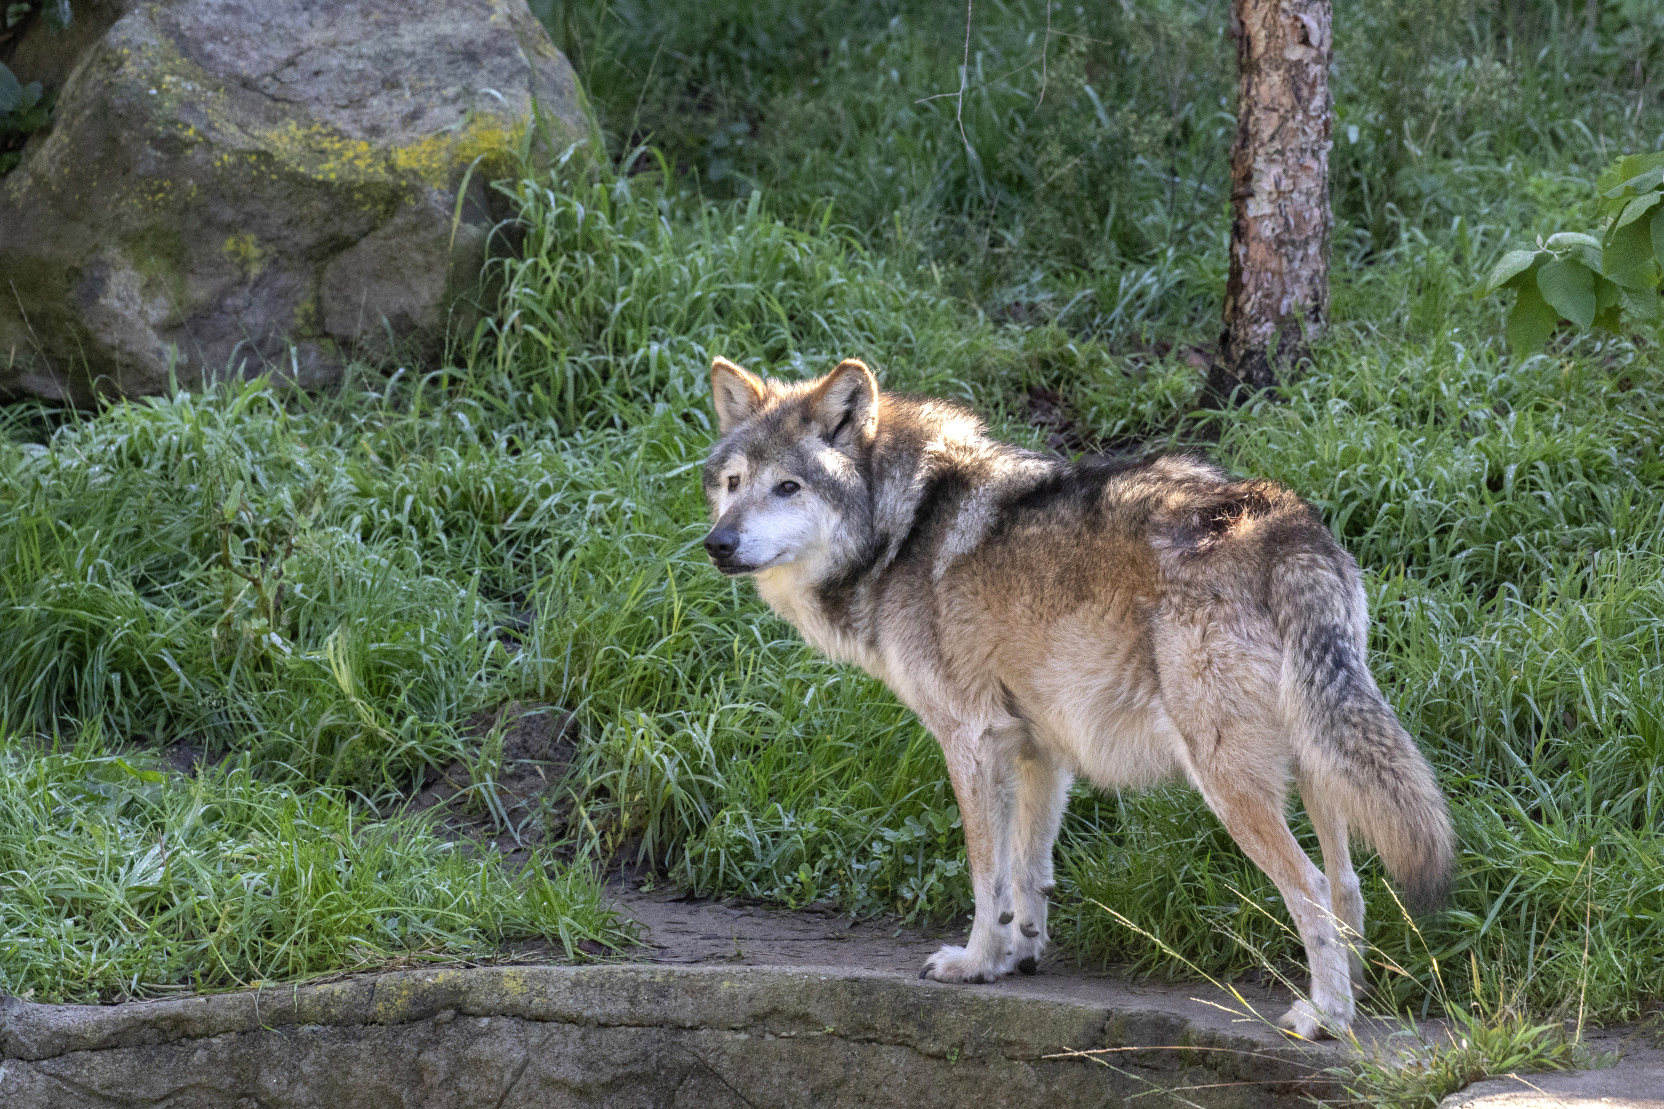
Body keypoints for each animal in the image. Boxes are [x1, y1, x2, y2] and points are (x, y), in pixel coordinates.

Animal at [695, 354, 1451, 1039]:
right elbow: (1030, 870)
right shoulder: (1040, 748)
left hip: (1229, 779)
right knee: (1349, 884)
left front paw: (974, 963)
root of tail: (1286, 524)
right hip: (1318, 761)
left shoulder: (971, 740)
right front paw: (1018, 954)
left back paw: (1325, 1018)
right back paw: (1352, 995)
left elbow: (987, 875)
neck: (902, 527)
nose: (717, 543)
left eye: (788, 487)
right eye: (734, 484)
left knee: (1312, 888)